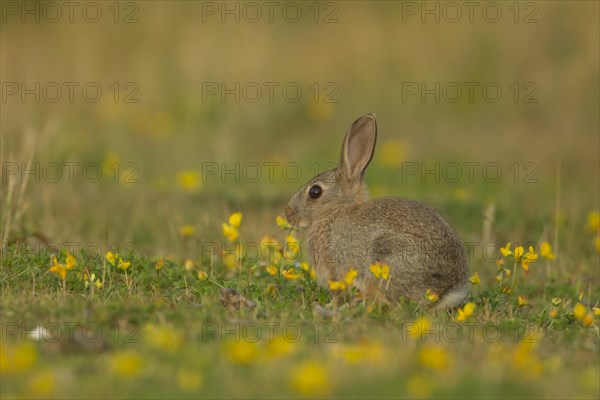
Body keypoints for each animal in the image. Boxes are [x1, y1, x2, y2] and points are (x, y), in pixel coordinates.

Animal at [284, 112, 472, 310]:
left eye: (315, 192)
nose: (288, 213)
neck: (335, 212)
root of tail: (447, 291)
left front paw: (329, 306)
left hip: (383, 258)